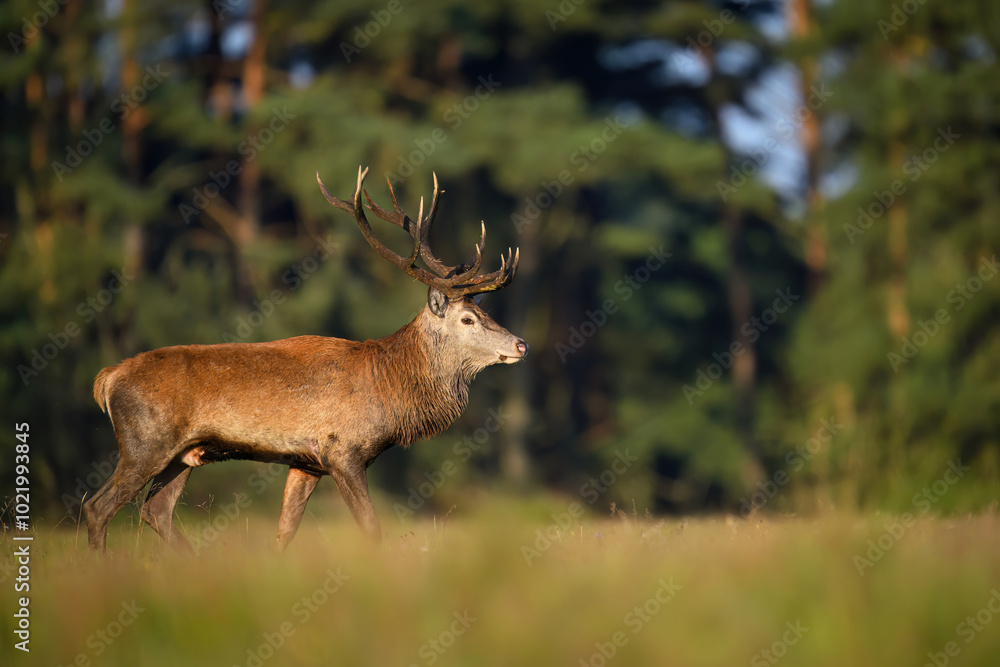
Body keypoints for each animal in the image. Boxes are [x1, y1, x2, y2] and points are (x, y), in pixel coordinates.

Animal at [84, 165, 527, 553]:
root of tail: (107, 378)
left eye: (484, 311)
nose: (521, 344)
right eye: (468, 318)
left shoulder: (306, 462)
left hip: (183, 454)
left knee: (155, 511)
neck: (390, 389)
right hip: (144, 443)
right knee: (97, 507)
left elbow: (285, 533)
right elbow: (371, 528)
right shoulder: (342, 451)